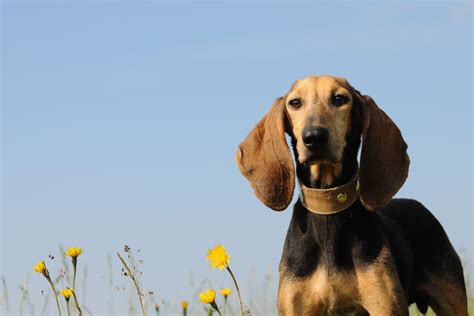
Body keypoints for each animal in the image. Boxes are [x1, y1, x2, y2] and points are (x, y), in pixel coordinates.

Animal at [236, 75, 466, 314]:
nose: (314, 137)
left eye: (340, 99)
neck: (327, 210)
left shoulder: (384, 305)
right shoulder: (295, 307)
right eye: (295, 103)